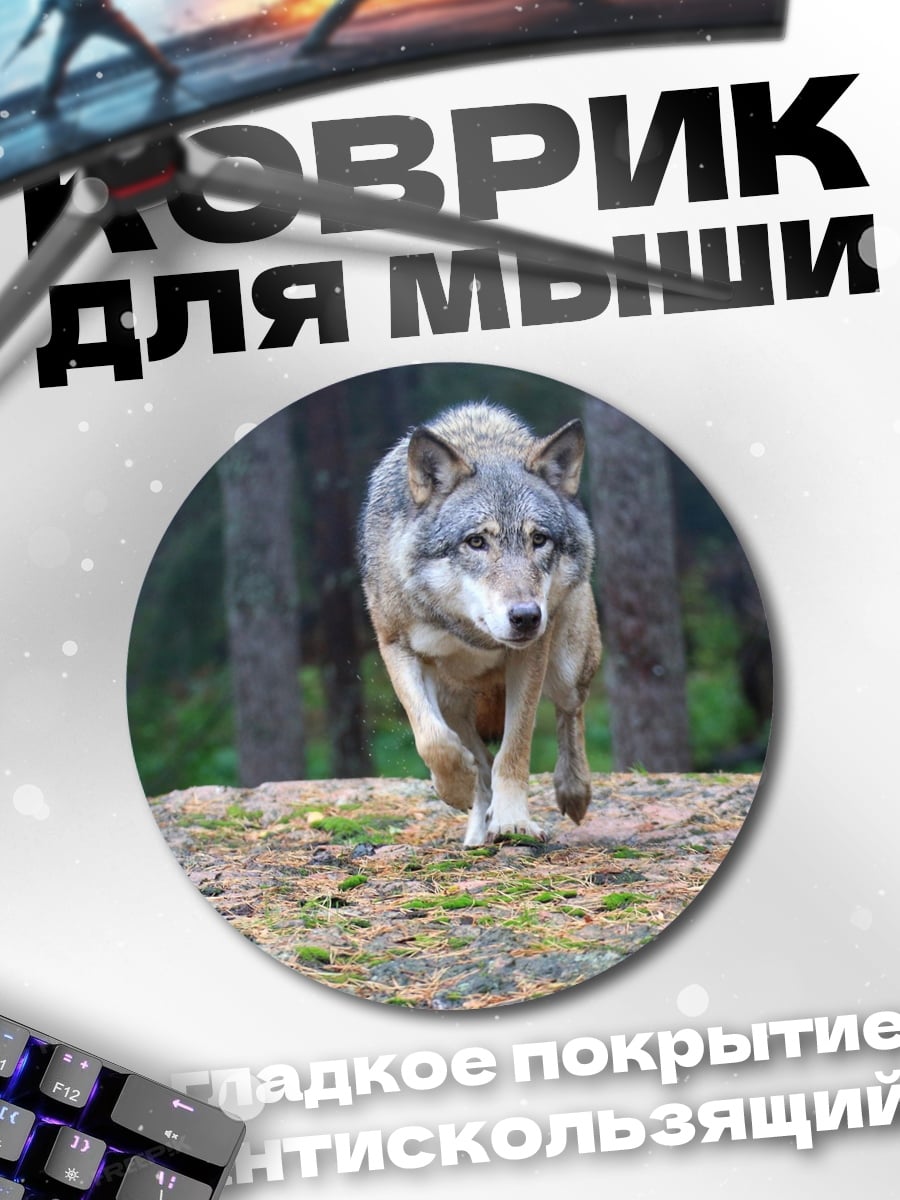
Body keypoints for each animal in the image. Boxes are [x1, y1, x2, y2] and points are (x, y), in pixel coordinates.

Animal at [358, 402, 602, 845]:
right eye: (476, 542)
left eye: (538, 539)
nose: (526, 616)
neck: (470, 633)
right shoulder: (396, 647)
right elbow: (432, 740)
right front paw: (456, 788)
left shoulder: (531, 656)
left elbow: (515, 749)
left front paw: (513, 821)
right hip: (452, 699)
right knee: (479, 757)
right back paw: (475, 833)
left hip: (566, 665)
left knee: (570, 711)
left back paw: (573, 791)